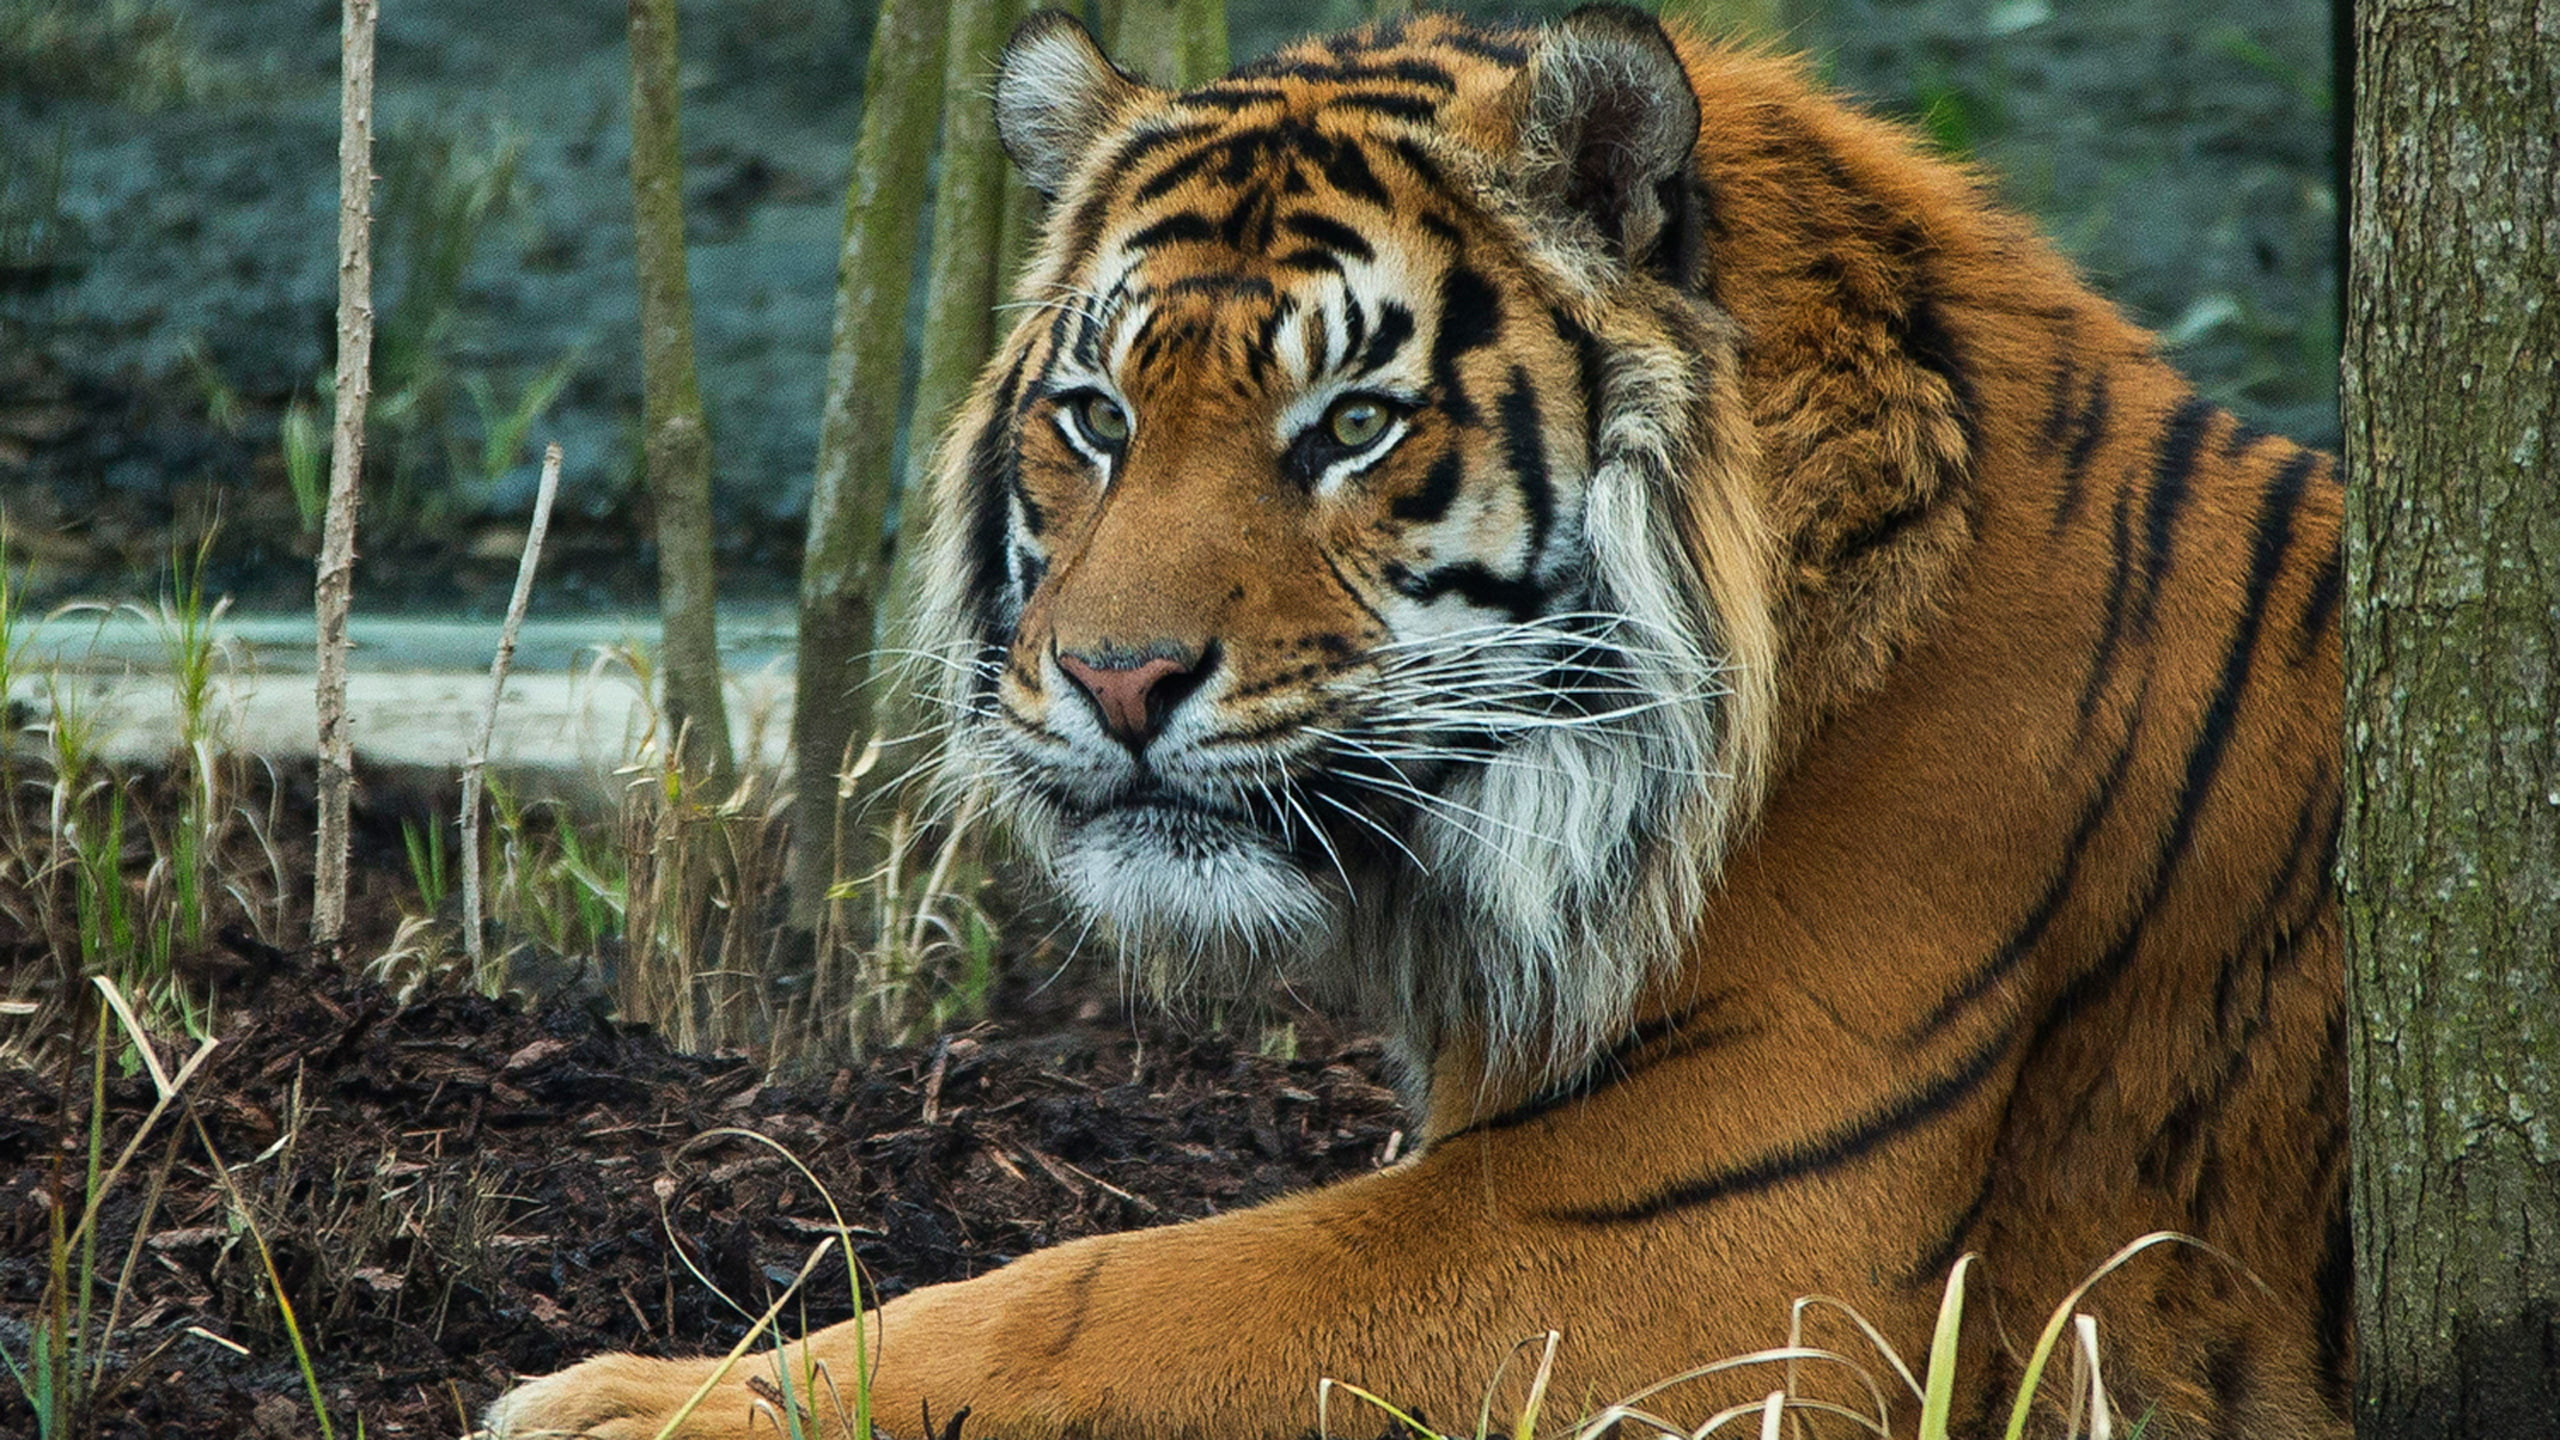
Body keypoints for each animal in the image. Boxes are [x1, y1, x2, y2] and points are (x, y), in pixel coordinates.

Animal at [489, 6, 2348, 1438]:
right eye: (1095, 418)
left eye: (1352, 424)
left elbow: (1093, 1299)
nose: (1116, 678)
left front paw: (624, 1404)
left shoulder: (1687, 1249)